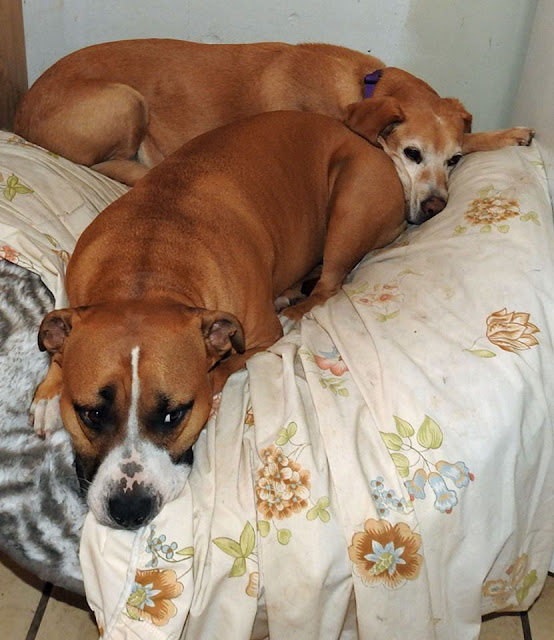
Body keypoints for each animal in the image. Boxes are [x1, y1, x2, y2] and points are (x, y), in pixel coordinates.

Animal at [14, 40, 534, 225]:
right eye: (411, 153)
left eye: (453, 161)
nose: (435, 208)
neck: (362, 87)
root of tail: (19, 114)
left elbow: (473, 134)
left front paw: (507, 134)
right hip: (126, 98)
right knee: (103, 162)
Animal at [31, 110, 406, 529]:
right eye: (92, 414)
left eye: (174, 415)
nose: (129, 508)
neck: (146, 271)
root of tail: (365, 142)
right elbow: (59, 336)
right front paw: (50, 390)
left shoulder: (258, 336)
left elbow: (220, 369)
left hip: (351, 205)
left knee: (328, 285)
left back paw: (294, 305)